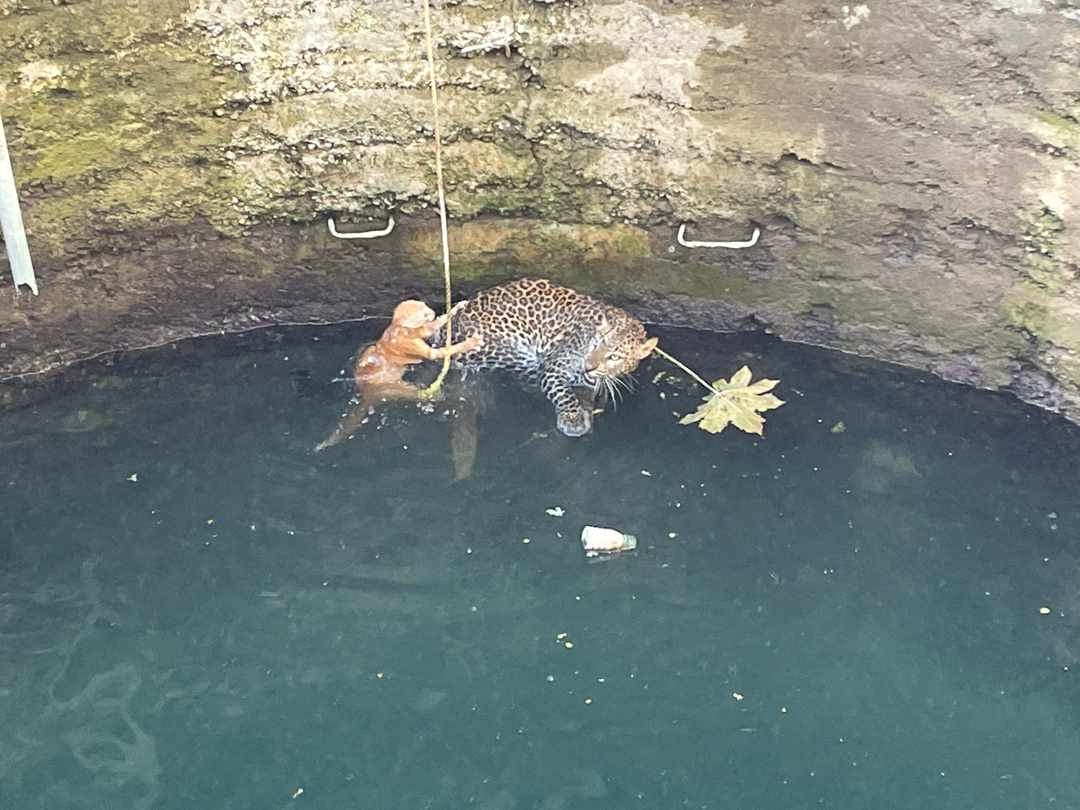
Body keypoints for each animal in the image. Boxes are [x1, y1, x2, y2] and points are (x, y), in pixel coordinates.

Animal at [435, 278, 658, 437]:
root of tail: (448, 331)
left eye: (614, 357)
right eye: (595, 344)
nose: (588, 366)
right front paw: (573, 419)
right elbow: (563, 392)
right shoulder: (554, 368)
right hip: (512, 355)